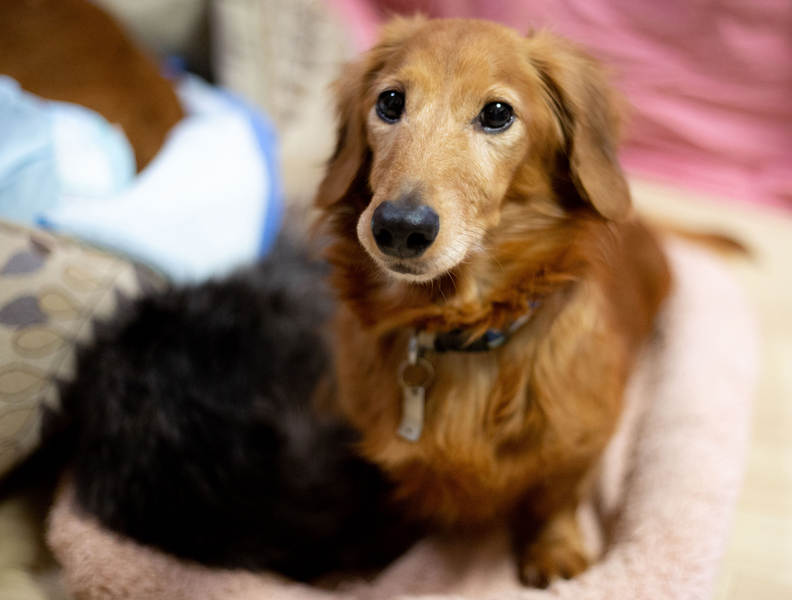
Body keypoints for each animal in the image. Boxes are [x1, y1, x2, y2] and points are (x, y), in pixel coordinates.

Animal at [316, 17, 671, 587]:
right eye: (390, 102)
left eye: (497, 113)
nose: (399, 228)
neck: (462, 322)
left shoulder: (583, 440)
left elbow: (558, 496)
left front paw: (555, 552)